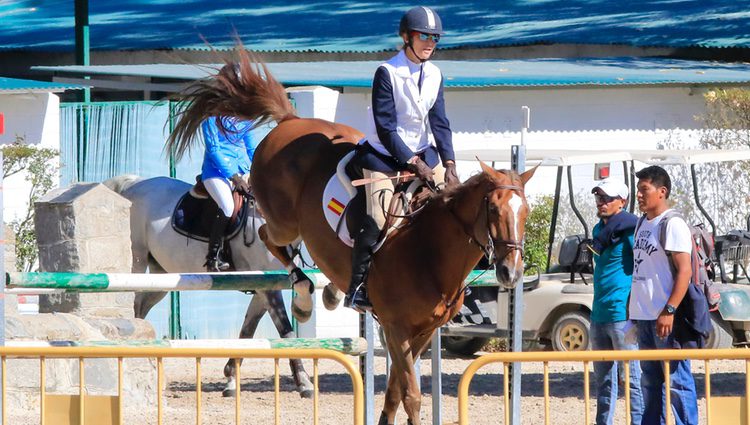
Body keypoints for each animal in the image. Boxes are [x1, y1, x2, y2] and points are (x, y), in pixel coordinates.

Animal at [170, 50, 536, 424]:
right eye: (493, 209)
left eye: (526, 212)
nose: (511, 272)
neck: (429, 251)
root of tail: (290, 120)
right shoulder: (396, 326)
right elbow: (411, 395)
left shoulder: (422, 331)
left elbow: (394, 392)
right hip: (283, 220)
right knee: (268, 236)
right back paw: (304, 297)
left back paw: (332, 291)